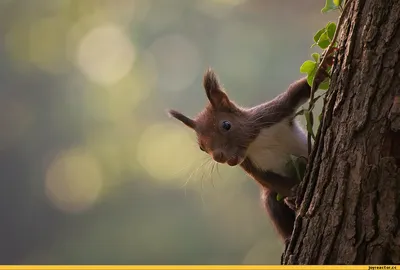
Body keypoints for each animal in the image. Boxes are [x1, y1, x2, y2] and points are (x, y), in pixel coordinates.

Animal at [167, 67, 314, 243]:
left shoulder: (271, 113)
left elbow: (295, 92)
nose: (219, 157)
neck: (255, 142)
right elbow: (268, 179)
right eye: (202, 147)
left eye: (226, 125)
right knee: (273, 202)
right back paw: (288, 235)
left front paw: (325, 65)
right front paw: (295, 192)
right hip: (272, 199)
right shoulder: (249, 164)